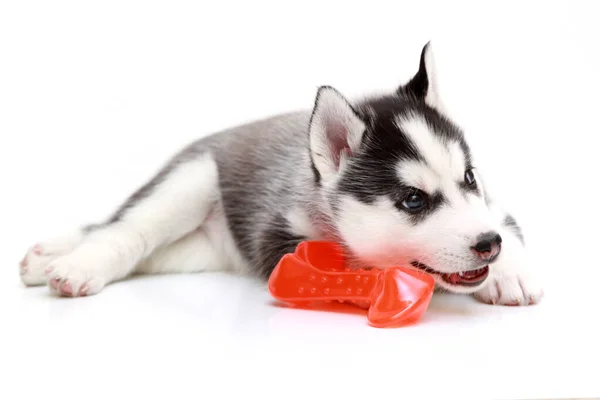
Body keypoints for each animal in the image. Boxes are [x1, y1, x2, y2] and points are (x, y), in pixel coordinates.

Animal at [18, 43, 544, 306]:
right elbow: (346, 267)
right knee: (126, 230)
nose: (487, 245)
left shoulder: (492, 206)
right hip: (191, 181)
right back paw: (73, 265)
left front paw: (510, 272)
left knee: (143, 247)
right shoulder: (274, 236)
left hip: (201, 250)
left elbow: (507, 223)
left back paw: (47, 258)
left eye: (470, 178)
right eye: (413, 200)